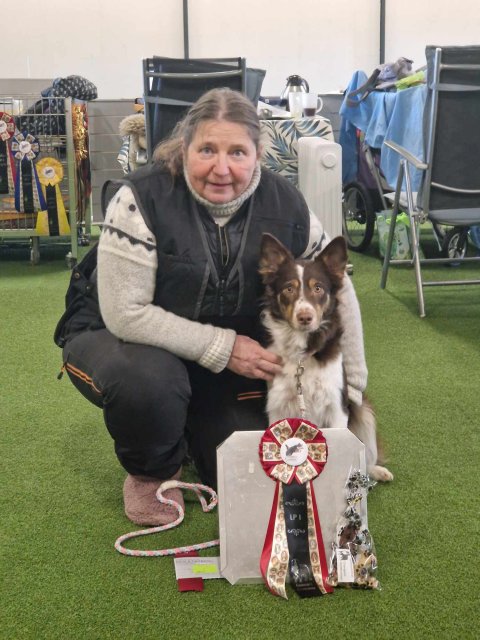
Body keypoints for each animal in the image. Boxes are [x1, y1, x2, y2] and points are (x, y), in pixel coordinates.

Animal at [259, 232, 393, 482]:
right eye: (289, 289)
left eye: (318, 288)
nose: (305, 317)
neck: (303, 355)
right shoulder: (278, 407)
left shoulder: (336, 407)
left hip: (364, 411)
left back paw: (376, 471)